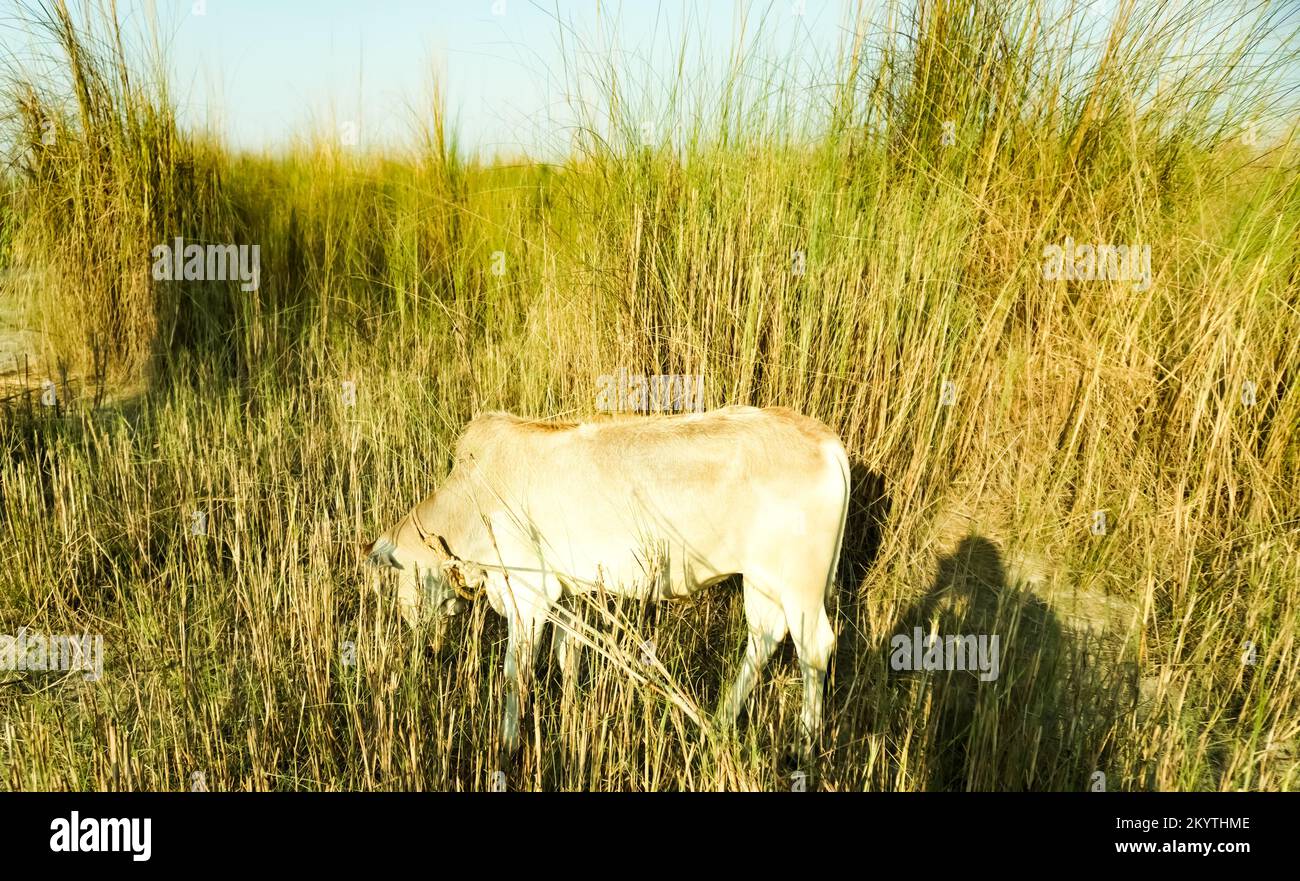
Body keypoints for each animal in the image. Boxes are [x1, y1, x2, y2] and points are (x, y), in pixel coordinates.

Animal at [363, 405, 849, 751]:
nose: (427, 649)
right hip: (760, 580)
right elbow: (568, 657)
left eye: (398, 581)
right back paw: (719, 721)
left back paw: (803, 743)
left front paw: (507, 744)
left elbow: (515, 672)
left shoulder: (528, 595)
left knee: (814, 648)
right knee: (765, 638)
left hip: (800, 586)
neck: (469, 501)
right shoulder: (567, 595)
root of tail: (827, 442)